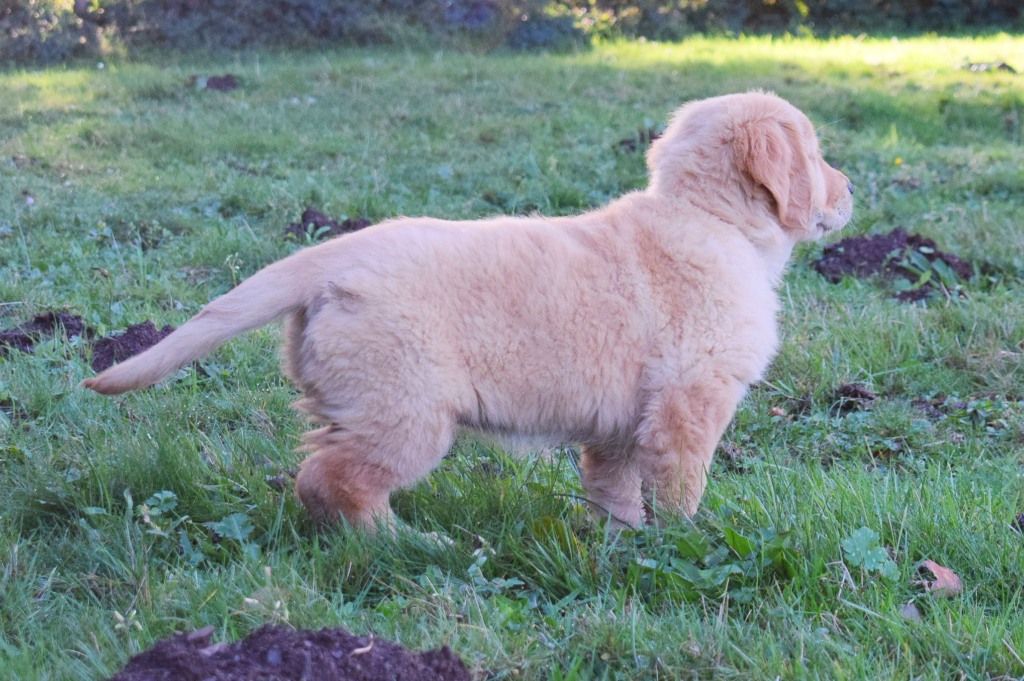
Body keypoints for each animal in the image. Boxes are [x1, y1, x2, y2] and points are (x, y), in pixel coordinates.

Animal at [84, 91, 853, 530]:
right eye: (816, 154)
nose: (851, 189)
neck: (709, 218)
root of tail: (328, 260)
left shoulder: (619, 424)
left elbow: (615, 489)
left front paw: (622, 544)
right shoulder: (690, 401)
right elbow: (682, 485)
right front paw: (687, 542)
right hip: (405, 411)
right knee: (334, 482)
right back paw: (406, 545)